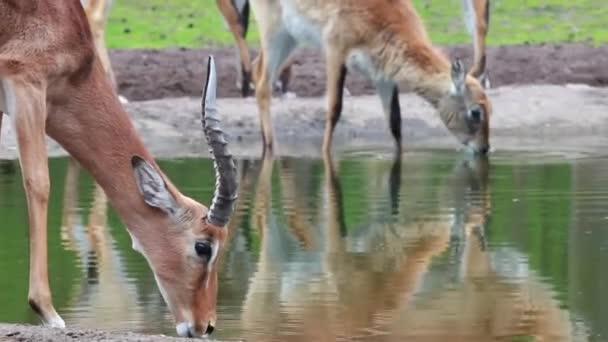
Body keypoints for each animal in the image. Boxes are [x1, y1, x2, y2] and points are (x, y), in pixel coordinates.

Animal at [249, 0, 492, 153]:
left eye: (490, 108)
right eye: (476, 111)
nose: (484, 148)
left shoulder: (383, 77)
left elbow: (395, 122)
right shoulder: (335, 50)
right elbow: (334, 109)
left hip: (290, 37)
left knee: (257, 68)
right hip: (273, 28)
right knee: (262, 83)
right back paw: (271, 147)